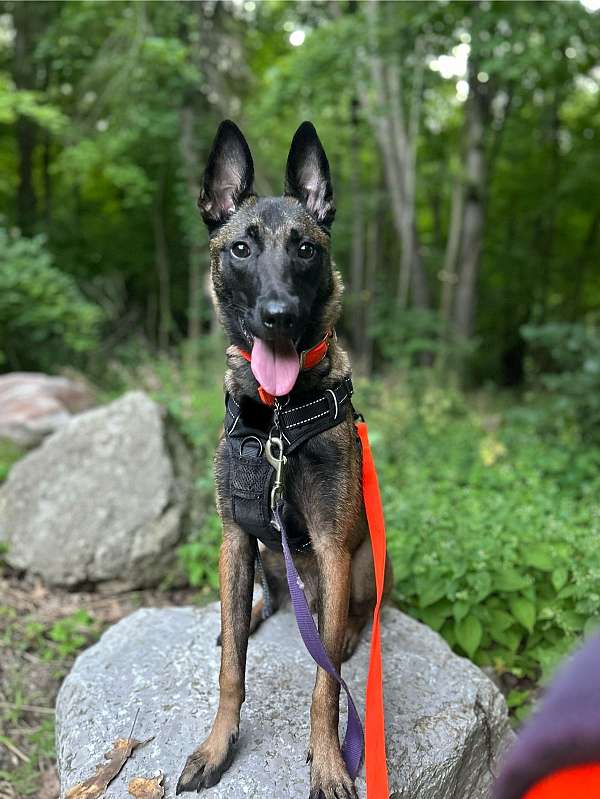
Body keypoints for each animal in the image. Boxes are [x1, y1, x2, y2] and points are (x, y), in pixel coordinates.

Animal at [177, 120, 394, 799]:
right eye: (242, 248)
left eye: (305, 249)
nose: (279, 317)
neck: (275, 416)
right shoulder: (233, 538)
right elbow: (231, 671)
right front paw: (217, 745)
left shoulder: (330, 548)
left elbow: (325, 686)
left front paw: (328, 760)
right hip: (262, 560)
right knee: (262, 606)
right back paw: (242, 618)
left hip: (360, 566)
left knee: (344, 626)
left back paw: (347, 636)